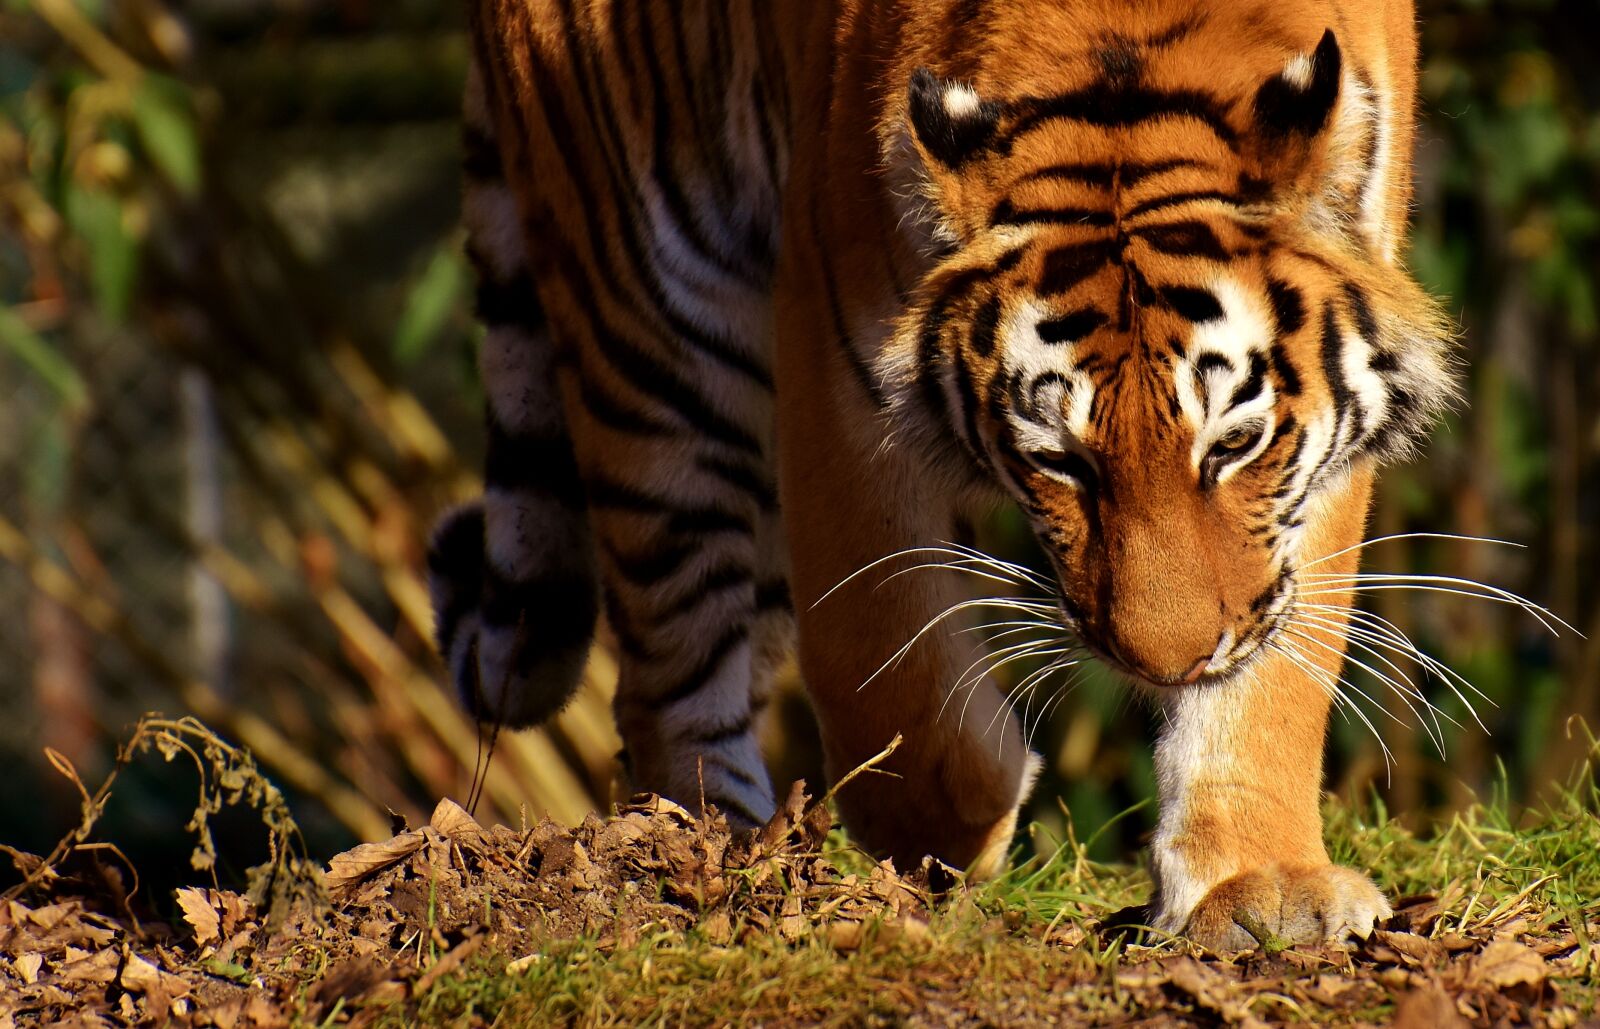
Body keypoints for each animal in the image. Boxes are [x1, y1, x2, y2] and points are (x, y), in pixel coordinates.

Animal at [427, 0, 1456, 951]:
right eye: (1059, 459)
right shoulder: (833, 356)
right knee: (666, 667)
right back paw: (721, 858)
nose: (1162, 664)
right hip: (649, 322)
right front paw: (963, 825)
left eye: (1234, 443)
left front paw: (1257, 883)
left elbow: (1277, 675)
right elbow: (874, 652)